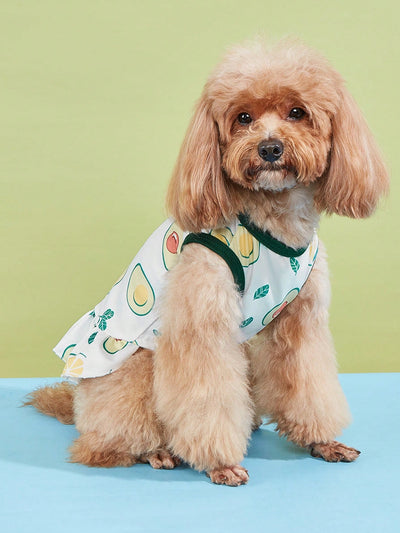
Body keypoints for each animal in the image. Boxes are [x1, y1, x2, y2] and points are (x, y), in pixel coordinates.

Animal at [26, 39, 390, 484]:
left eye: (297, 112)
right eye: (243, 118)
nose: (270, 148)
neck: (273, 219)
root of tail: (77, 410)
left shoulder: (301, 324)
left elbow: (309, 384)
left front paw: (322, 441)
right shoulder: (203, 324)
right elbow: (206, 398)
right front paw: (220, 462)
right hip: (133, 364)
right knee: (110, 441)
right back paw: (156, 451)